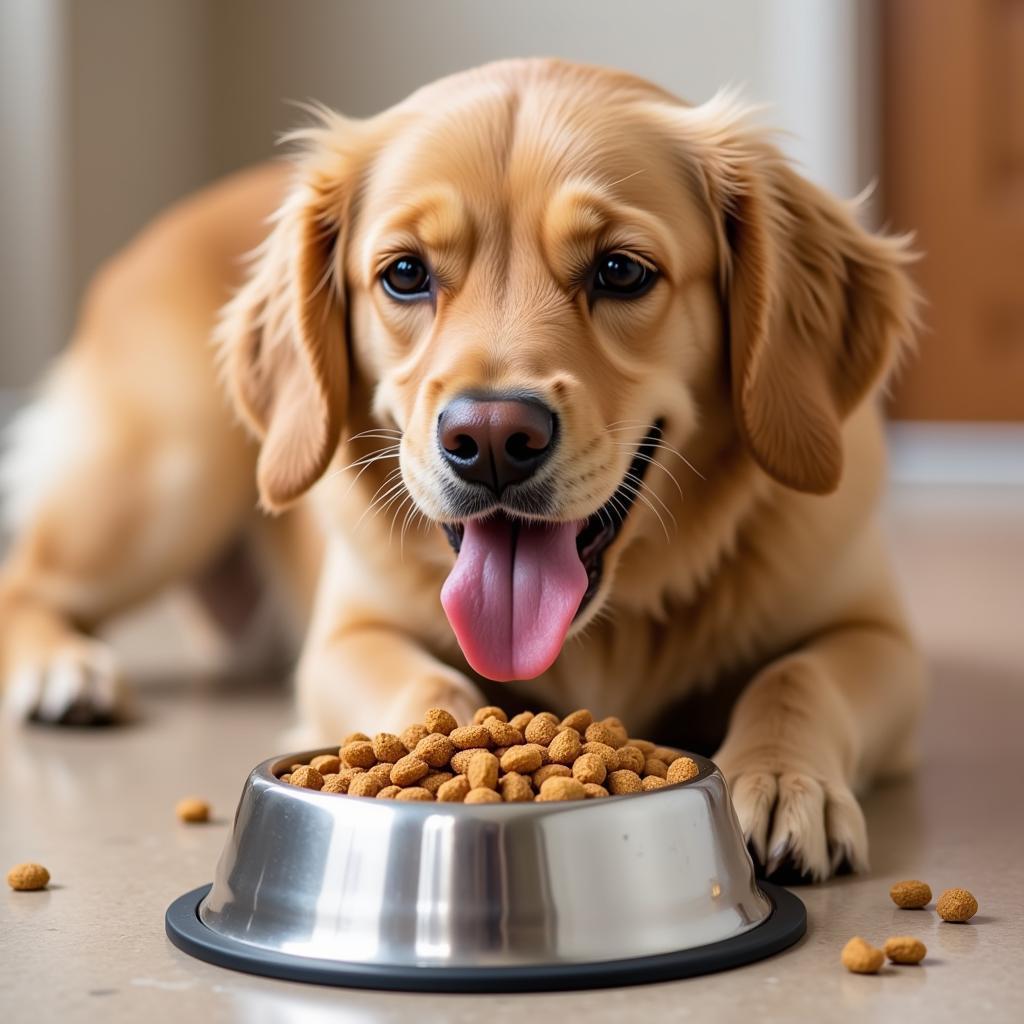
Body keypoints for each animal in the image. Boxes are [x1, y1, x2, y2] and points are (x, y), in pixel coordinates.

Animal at [0, 59, 925, 880]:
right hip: (168, 481)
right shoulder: (346, 638)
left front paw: (783, 781)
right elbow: (427, 685)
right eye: (405, 273)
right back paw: (65, 670)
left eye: (621, 270)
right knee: (27, 582)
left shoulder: (877, 635)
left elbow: (795, 677)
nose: (490, 438)